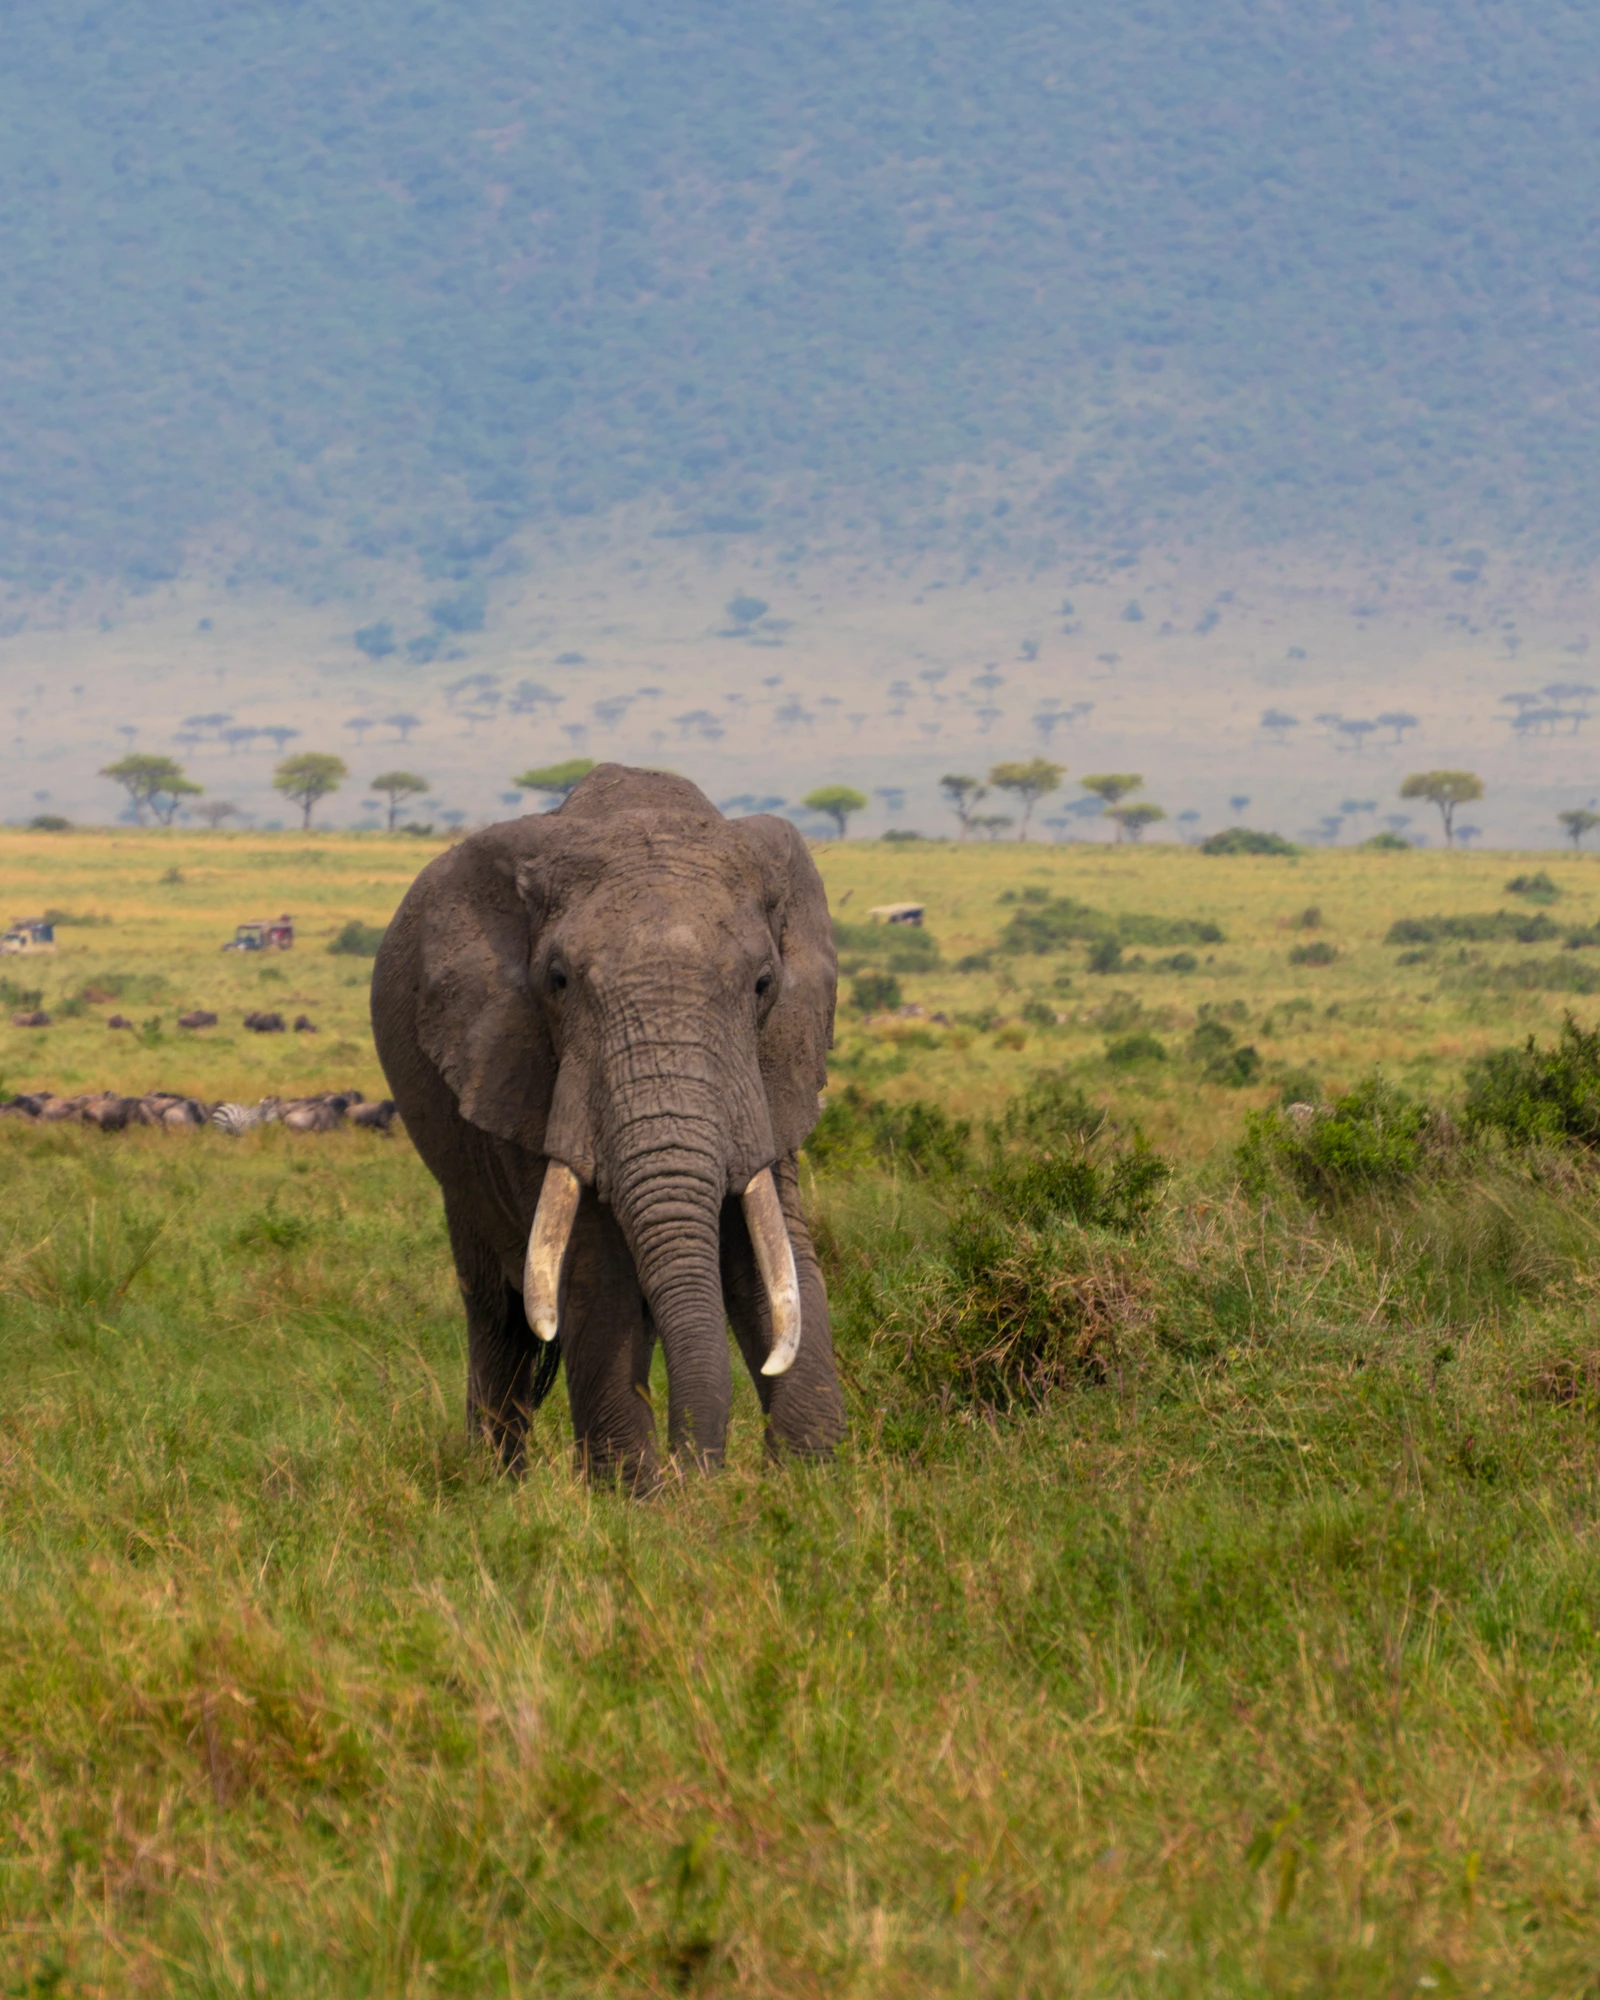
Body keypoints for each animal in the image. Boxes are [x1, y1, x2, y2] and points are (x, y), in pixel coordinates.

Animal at [371, 763, 847, 1486]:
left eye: (764, 984)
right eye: (558, 981)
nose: (697, 1473)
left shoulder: (774, 1071)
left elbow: (774, 1255)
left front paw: (811, 1483)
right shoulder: (526, 1071)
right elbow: (597, 1275)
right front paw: (638, 1500)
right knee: (498, 1316)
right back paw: (496, 1485)